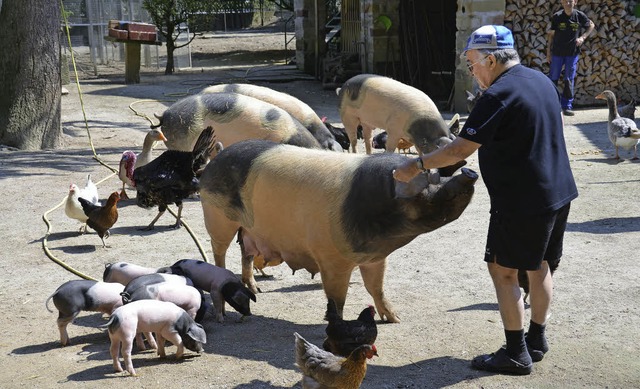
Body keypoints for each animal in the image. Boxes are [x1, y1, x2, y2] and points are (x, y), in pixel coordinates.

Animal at [199, 139, 476, 322]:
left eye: (436, 177)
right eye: (425, 187)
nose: (469, 172)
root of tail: (215, 159)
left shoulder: (375, 258)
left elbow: (376, 288)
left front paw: (395, 319)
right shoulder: (331, 258)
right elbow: (337, 298)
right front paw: (338, 325)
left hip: (248, 229)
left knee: (245, 253)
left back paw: (256, 290)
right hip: (217, 218)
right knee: (219, 252)